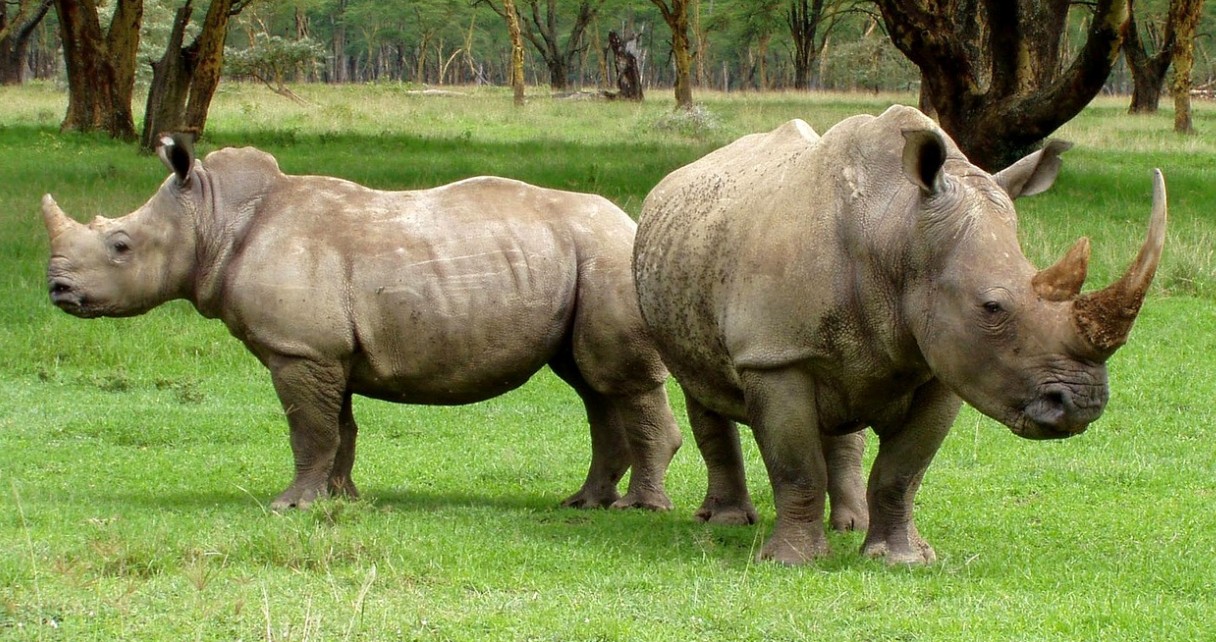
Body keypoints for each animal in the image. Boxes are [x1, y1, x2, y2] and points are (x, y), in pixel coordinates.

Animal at [42, 136, 682, 512]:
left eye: (120, 245)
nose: (57, 290)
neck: (213, 218)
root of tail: (631, 220)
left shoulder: (298, 348)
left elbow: (309, 429)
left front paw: (290, 506)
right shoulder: (325, 351)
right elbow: (339, 429)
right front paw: (341, 500)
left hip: (607, 257)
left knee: (617, 380)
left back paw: (638, 509)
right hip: (583, 260)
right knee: (592, 383)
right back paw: (584, 503)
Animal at [633, 105, 1167, 565]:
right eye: (992, 307)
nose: (1083, 405)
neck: (898, 232)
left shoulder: (946, 364)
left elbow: (904, 469)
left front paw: (900, 559)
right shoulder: (775, 353)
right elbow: (796, 465)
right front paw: (790, 562)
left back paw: (849, 524)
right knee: (702, 390)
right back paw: (725, 522)